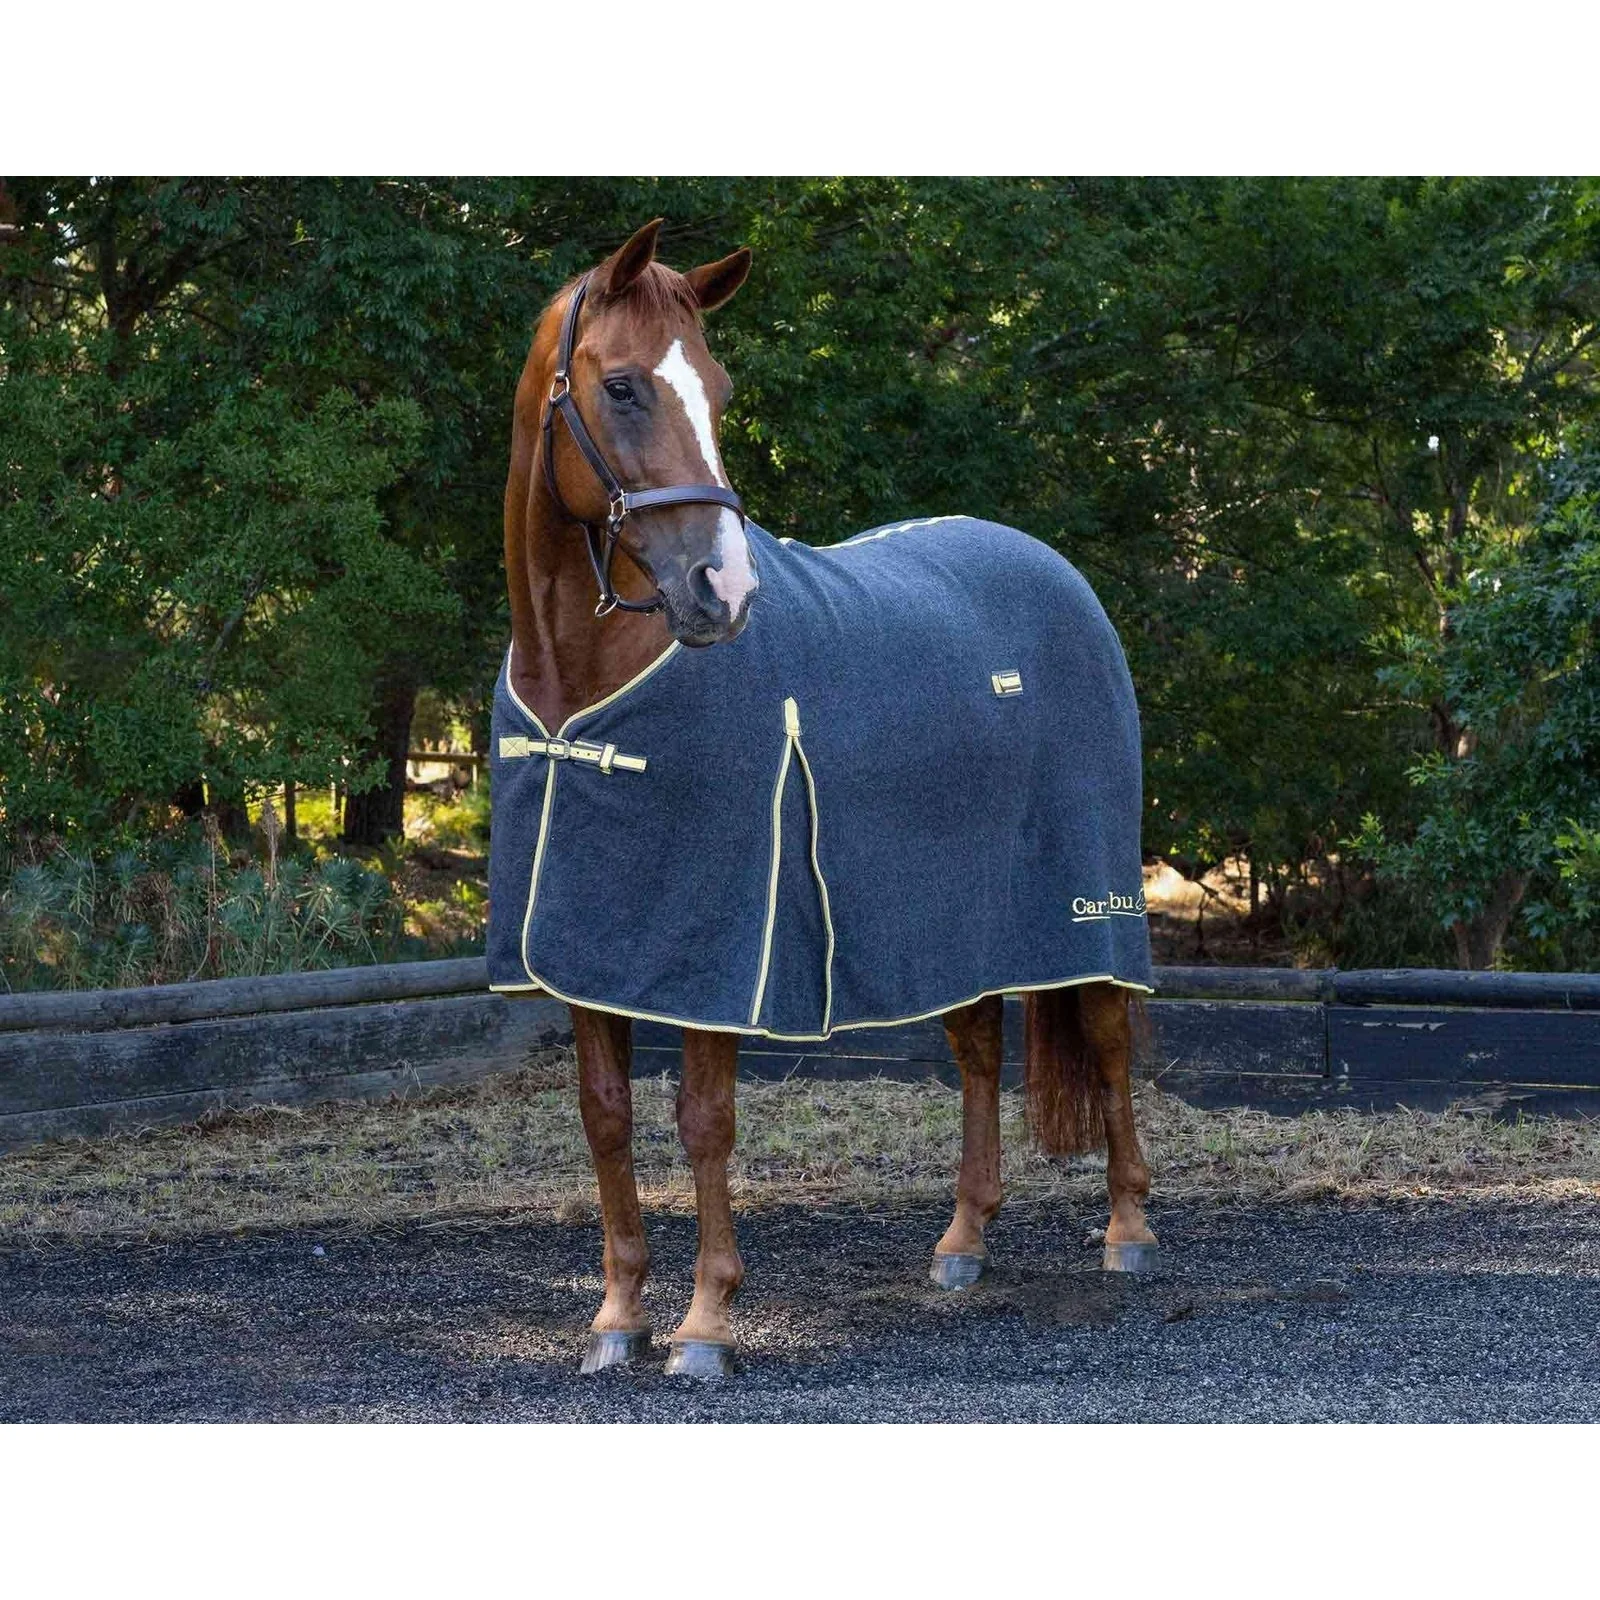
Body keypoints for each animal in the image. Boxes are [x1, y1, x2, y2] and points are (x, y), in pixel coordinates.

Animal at [494, 219, 1157, 1377]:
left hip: (1088, 907)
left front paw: (706, 1325)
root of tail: (1054, 571)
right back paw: (962, 1242)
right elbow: (606, 1117)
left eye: (718, 389)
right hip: (948, 921)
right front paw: (617, 1317)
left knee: (1110, 1037)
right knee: (978, 1048)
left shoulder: (715, 952)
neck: (583, 686)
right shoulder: (589, 949)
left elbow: (705, 1121)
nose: (723, 592)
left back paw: (1127, 1229)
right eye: (621, 386)